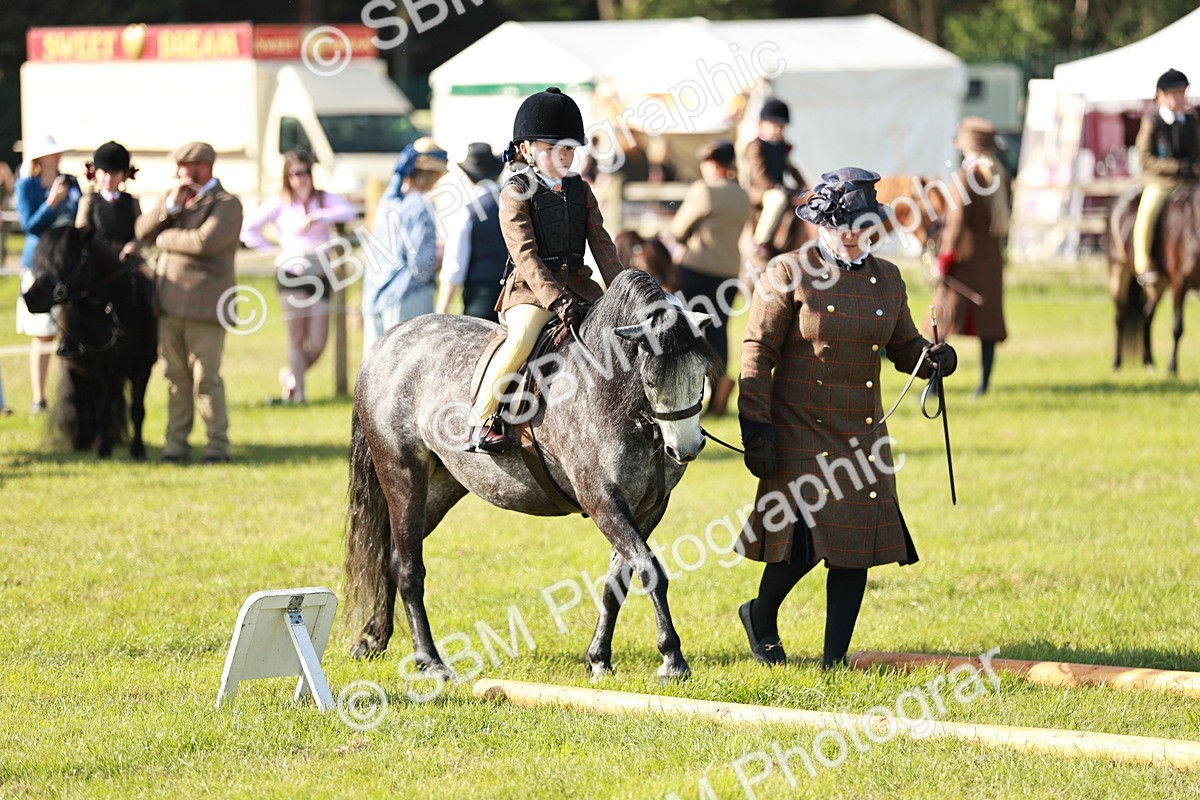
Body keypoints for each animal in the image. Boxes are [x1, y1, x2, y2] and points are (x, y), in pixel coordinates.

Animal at [21, 226, 157, 459]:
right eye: (41, 257)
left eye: (64, 258)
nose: (30, 298)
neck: (115, 309)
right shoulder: (98, 368)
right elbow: (101, 408)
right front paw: (104, 449)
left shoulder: (142, 366)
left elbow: (137, 409)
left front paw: (138, 450)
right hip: (75, 369)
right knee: (81, 403)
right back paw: (82, 442)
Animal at [345, 269, 717, 681]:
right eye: (650, 381)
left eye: (701, 373)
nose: (685, 448)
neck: (610, 392)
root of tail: (386, 343)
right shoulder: (604, 502)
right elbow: (650, 570)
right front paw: (672, 658)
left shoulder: (649, 509)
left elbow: (617, 581)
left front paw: (599, 658)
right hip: (403, 474)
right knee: (407, 566)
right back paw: (430, 661)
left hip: (440, 487)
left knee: (391, 555)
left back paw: (373, 639)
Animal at [1108, 184, 1200, 374]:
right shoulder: (1180, 284)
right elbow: (1177, 327)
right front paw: (1172, 367)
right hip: (1118, 272)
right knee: (1119, 317)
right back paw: (1116, 362)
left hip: (1157, 285)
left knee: (1146, 314)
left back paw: (1148, 361)